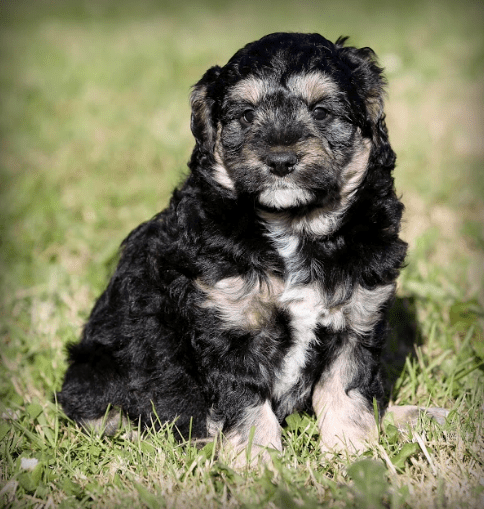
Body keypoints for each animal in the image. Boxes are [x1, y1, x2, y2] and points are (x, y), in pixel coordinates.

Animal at [58, 32, 446, 463]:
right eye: (245, 116)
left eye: (322, 112)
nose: (280, 160)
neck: (294, 225)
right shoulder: (228, 322)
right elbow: (246, 404)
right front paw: (258, 463)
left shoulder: (357, 316)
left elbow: (345, 392)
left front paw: (352, 451)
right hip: (98, 369)